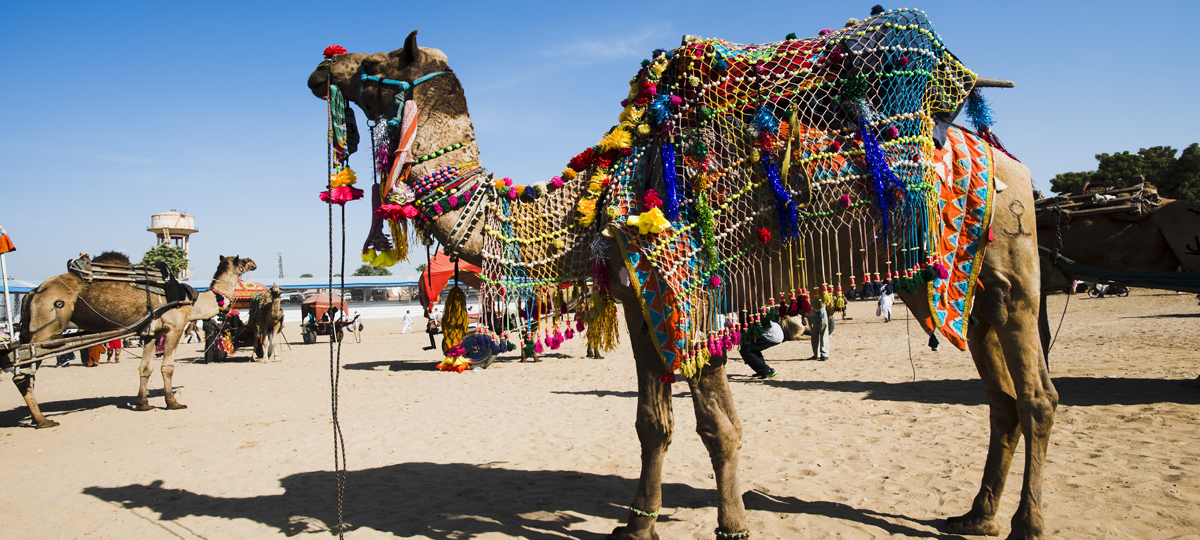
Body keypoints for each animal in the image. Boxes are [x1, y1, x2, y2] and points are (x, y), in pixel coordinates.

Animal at [17, 253, 256, 427]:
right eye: (242, 261)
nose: (254, 263)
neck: (194, 300)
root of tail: (33, 292)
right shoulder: (174, 327)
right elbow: (167, 367)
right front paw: (172, 402)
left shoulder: (150, 332)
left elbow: (145, 368)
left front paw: (142, 403)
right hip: (46, 329)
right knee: (24, 373)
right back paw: (42, 419)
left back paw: (36, 417)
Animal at [312, 10, 1060, 537]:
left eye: (376, 61)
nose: (324, 67)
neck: (594, 204)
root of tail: (1004, 158)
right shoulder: (643, 304)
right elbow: (656, 424)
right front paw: (636, 526)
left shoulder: (688, 289)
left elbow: (715, 426)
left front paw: (732, 526)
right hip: (963, 285)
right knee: (1001, 399)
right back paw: (974, 517)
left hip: (1013, 270)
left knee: (1038, 396)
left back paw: (1026, 525)